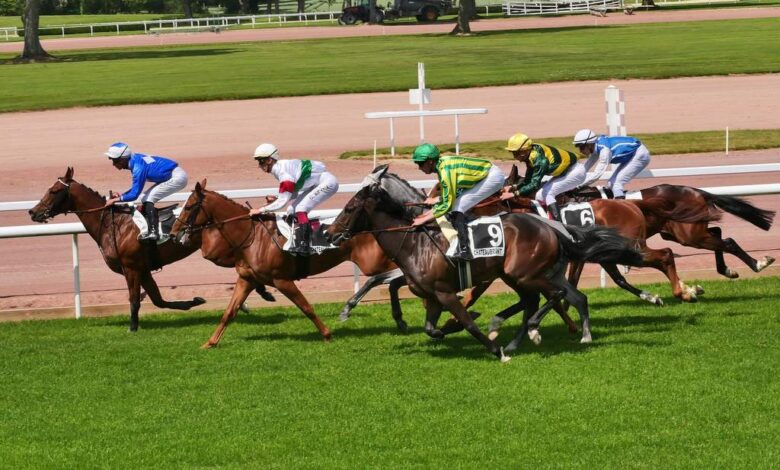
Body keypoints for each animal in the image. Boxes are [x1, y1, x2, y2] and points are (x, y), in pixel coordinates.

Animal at [29, 168, 207, 330]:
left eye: (54, 191)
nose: (33, 212)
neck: (113, 224)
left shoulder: (131, 268)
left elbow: (134, 300)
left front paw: (132, 328)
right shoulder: (143, 270)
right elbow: (158, 300)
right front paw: (193, 302)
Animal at [170, 180, 402, 348]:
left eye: (188, 207)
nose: (173, 234)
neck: (252, 236)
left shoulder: (281, 280)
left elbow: (306, 307)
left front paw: (327, 335)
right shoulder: (246, 278)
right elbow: (229, 312)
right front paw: (210, 343)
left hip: (374, 262)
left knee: (393, 274)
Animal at [322, 166, 640, 360]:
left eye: (349, 208)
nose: (328, 232)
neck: (416, 240)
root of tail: (552, 227)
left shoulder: (446, 291)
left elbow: (466, 320)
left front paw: (491, 345)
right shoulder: (432, 294)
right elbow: (426, 323)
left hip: (523, 274)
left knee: (551, 297)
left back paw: (534, 331)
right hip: (521, 275)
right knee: (555, 298)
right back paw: (562, 334)